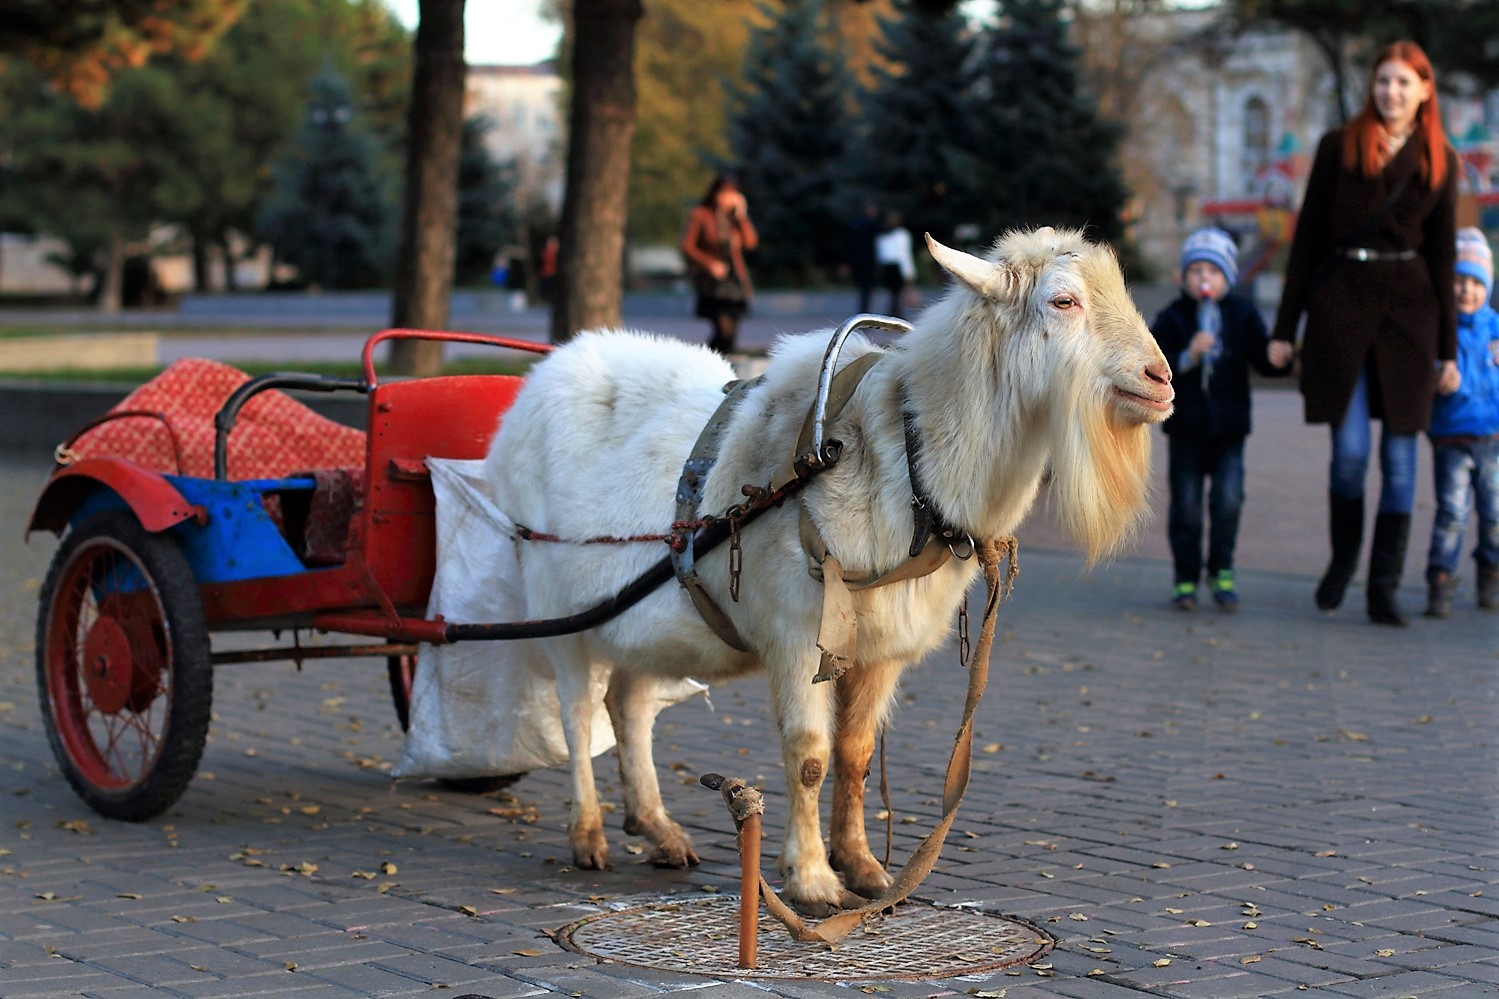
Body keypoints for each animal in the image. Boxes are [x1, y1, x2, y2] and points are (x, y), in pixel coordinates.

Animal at [482, 228, 1169, 912]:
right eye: (1063, 301)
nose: (1161, 379)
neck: (897, 460)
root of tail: (535, 383)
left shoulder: (882, 648)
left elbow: (856, 753)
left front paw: (865, 868)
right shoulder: (797, 638)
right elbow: (810, 755)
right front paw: (812, 879)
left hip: (646, 626)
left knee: (629, 706)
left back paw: (659, 831)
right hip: (559, 608)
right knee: (578, 714)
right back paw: (588, 835)